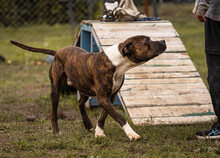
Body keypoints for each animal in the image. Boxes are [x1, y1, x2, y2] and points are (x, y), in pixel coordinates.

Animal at [10, 35, 165, 140]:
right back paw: (56, 130)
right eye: (147, 41)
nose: (163, 41)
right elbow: (119, 117)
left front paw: (99, 132)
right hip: (55, 89)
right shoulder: (103, 98)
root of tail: (58, 52)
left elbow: (103, 115)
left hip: (83, 87)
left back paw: (88, 124)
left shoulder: (110, 96)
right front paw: (132, 134)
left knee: (80, 103)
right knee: (54, 111)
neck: (117, 63)